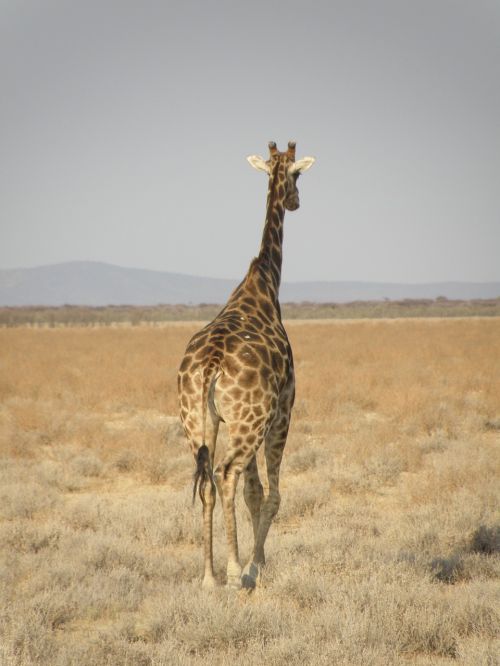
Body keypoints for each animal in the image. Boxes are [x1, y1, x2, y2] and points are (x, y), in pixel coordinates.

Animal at [178, 140, 314, 588]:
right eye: (298, 175)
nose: (296, 201)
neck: (265, 282)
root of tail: (211, 366)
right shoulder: (283, 410)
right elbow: (271, 494)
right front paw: (255, 564)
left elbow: (254, 492)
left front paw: (256, 562)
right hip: (250, 420)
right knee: (225, 473)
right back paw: (235, 571)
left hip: (198, 420)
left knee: (207, 479)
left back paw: (208, 577)